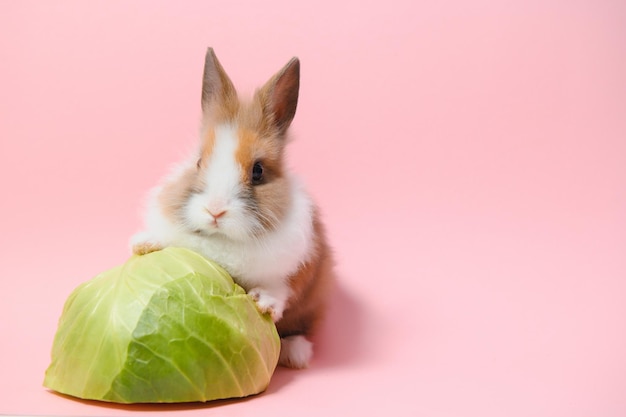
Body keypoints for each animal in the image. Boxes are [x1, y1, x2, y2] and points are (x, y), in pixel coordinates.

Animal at [130, 48, 334, 368]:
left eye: (258, 171)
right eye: (199, 162)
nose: (215, 211)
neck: (223, 241)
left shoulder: (300, 268)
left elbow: (281, 288)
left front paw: (263, 303)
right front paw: (143, 244)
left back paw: (296, 353)